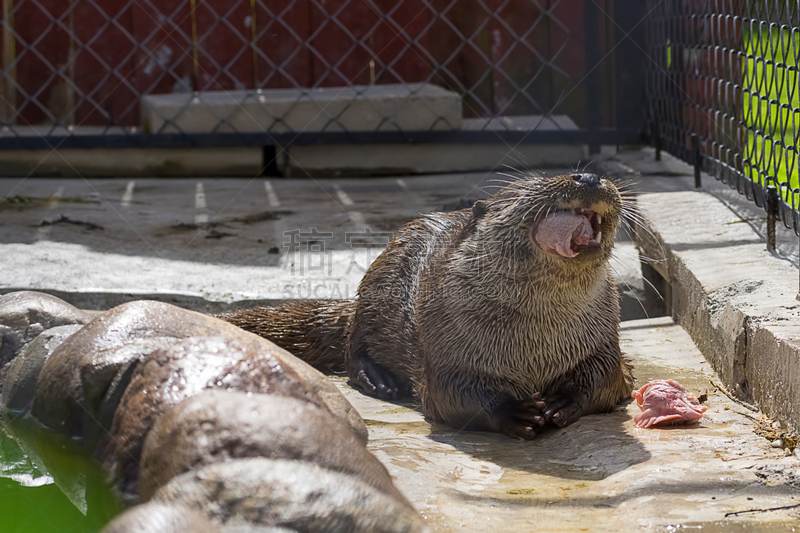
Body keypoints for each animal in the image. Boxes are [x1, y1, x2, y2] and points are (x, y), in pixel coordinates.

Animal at [222, 172, 636, 438]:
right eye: (532, 184)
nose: (588, 177)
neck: (534, 348)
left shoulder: (602, 341)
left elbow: (609, 378)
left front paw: (561, 400)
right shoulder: (447, 353)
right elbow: (449, 395)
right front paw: (513, 411)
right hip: (377, 284)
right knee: (353, 347)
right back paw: (380, 380)